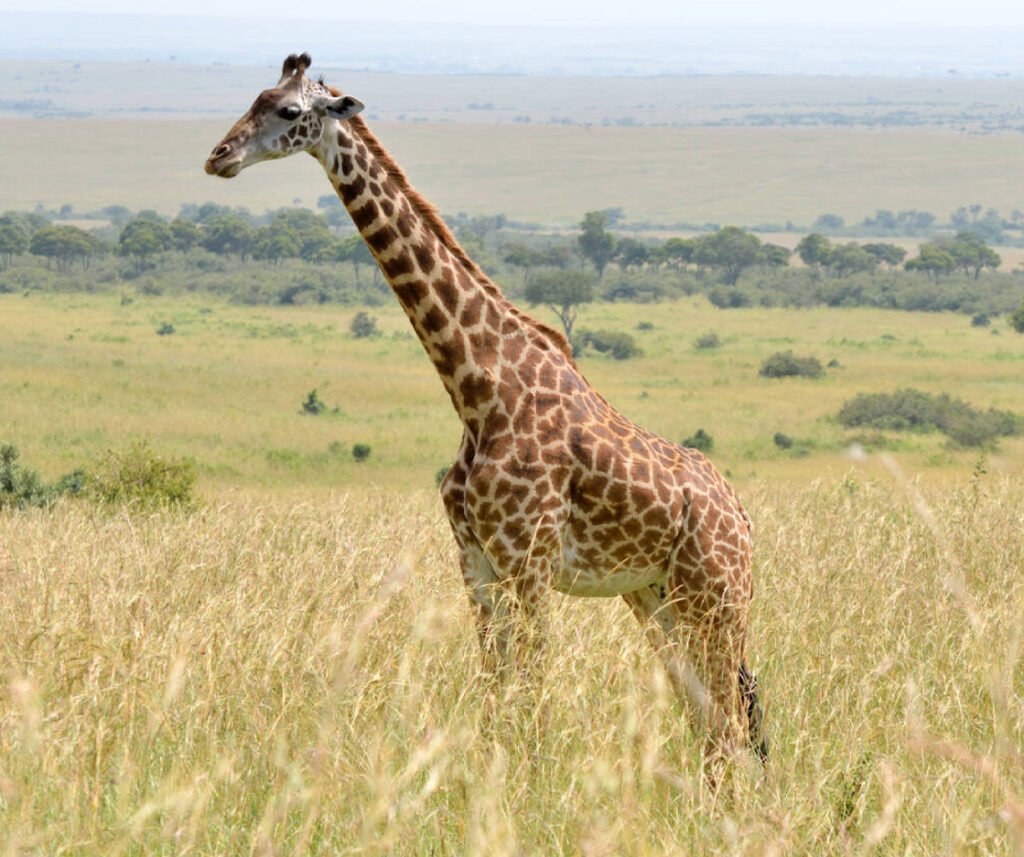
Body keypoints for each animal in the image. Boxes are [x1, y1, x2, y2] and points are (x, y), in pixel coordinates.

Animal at [205, 53, 767, 781]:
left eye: (290, 112)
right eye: (255, 97)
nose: (218, 157)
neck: (477, 387)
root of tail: (744, 521)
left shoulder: (528, 562)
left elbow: (532, 689)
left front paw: (537, 784)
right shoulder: (475, 562)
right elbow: (494, 693)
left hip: (719, 599)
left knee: (732, 721)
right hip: (656, 598)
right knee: (712, 721)